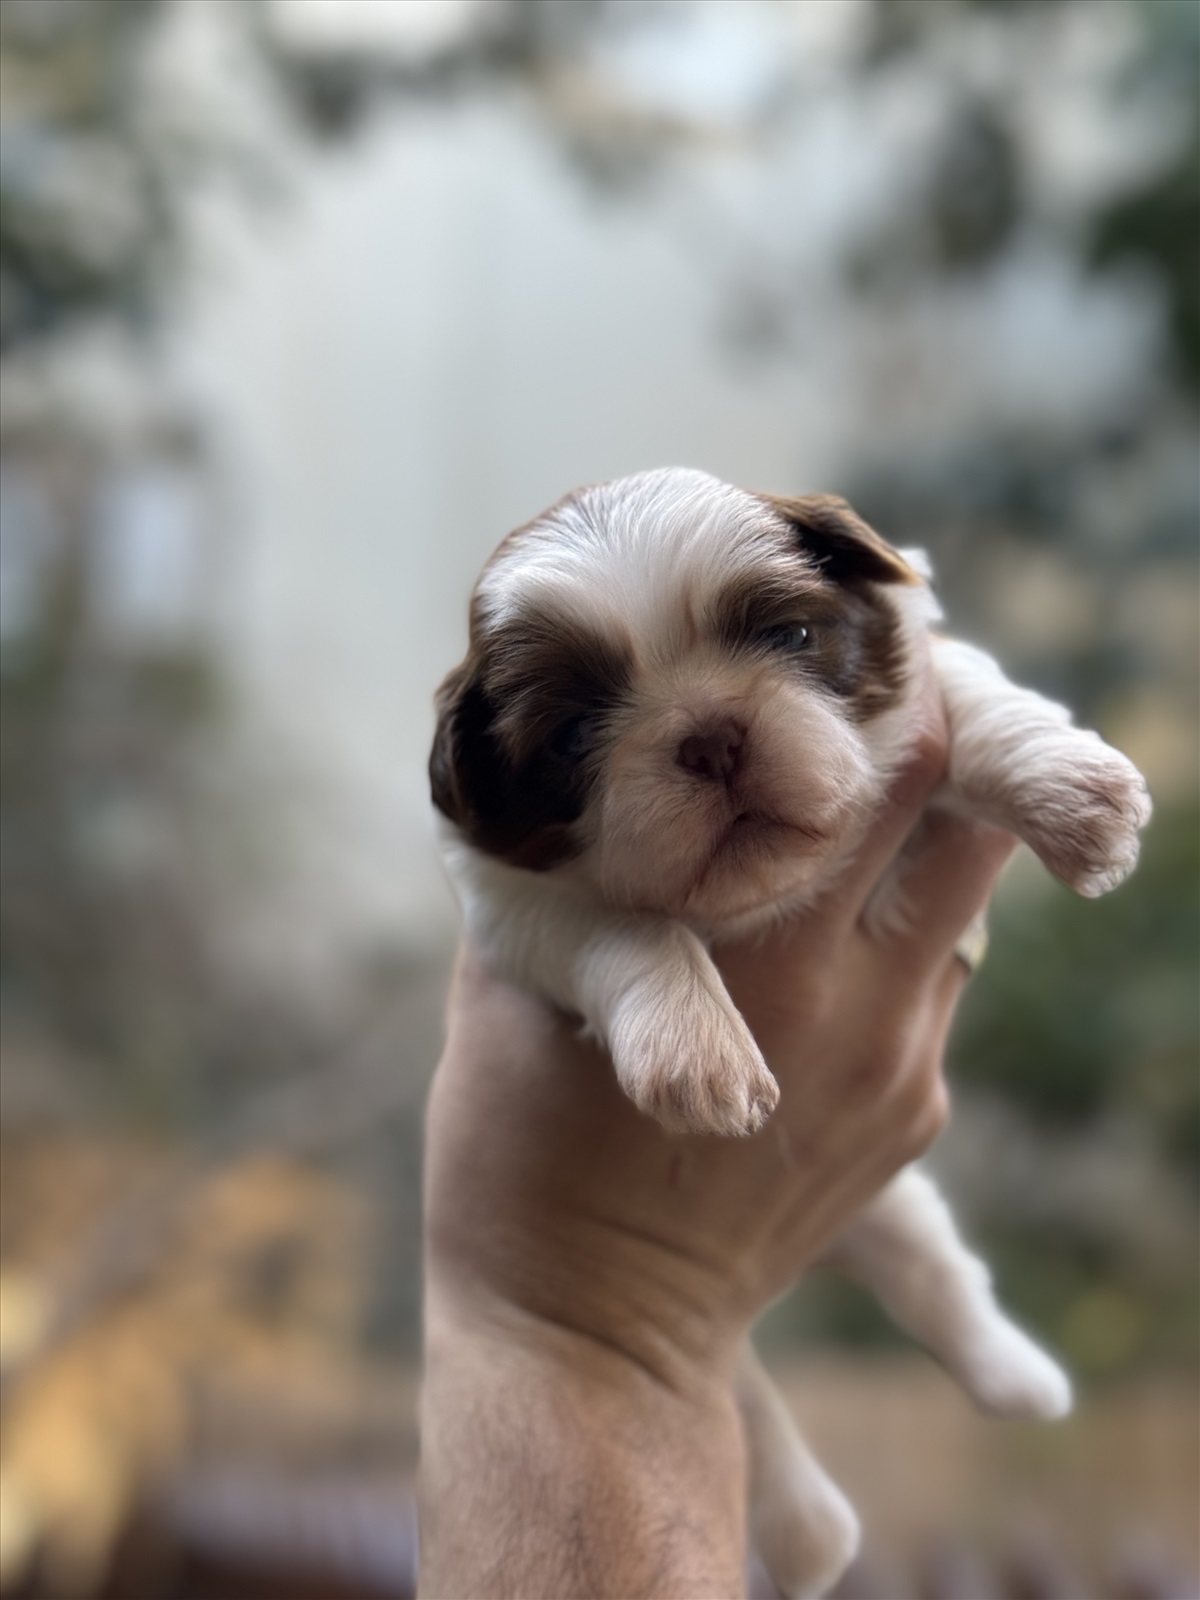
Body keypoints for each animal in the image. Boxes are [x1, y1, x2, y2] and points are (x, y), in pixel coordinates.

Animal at [432, 467, 1158, 1600]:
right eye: (572, 735)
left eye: (790, 635)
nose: (710, 733)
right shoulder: (512, 904)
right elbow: (622, 925)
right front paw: (695, 1046)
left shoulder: (923, 685)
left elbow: (975, 696)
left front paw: (1072, 797)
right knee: (749, 1389)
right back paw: (812, 1530)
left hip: (887, 1201)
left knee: (934, 1273)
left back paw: (1021, 1380)